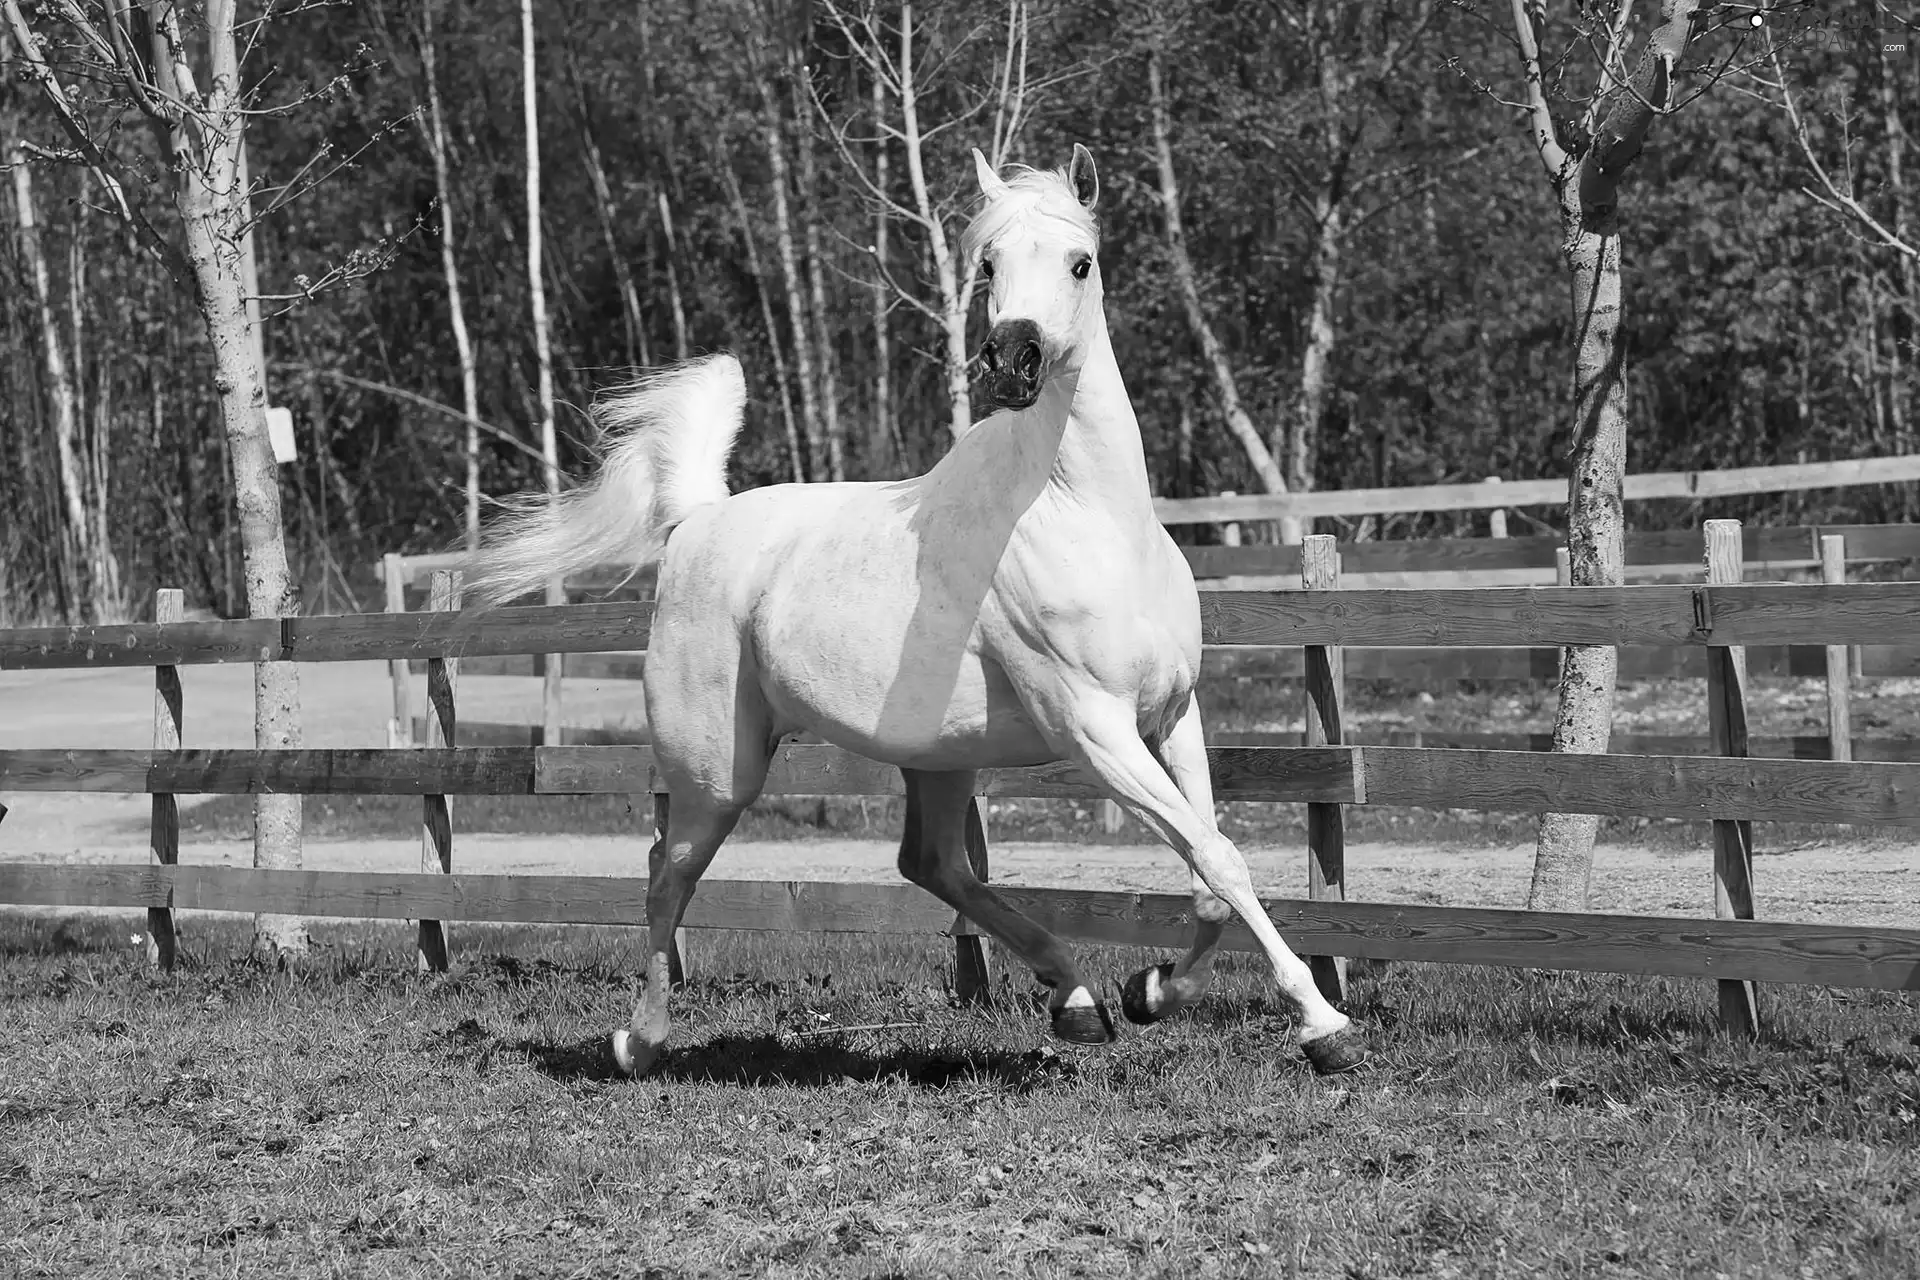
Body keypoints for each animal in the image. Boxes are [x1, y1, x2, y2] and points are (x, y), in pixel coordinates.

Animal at [464, 147, 1367, 1082]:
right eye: (989, 265)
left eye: (1080, 262)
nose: (1012, 361)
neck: (1090, 520)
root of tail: (699, 521)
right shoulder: (1096, 729)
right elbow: (1218, 858)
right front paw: (1323, 1026)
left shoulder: (1172, 718)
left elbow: (1209, 871)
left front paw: (1149, 993)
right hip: (719, 770)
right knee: (667, 874)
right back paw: (637, 1041)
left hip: (939, 758)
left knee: (931, 863)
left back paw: (1078, 1000)